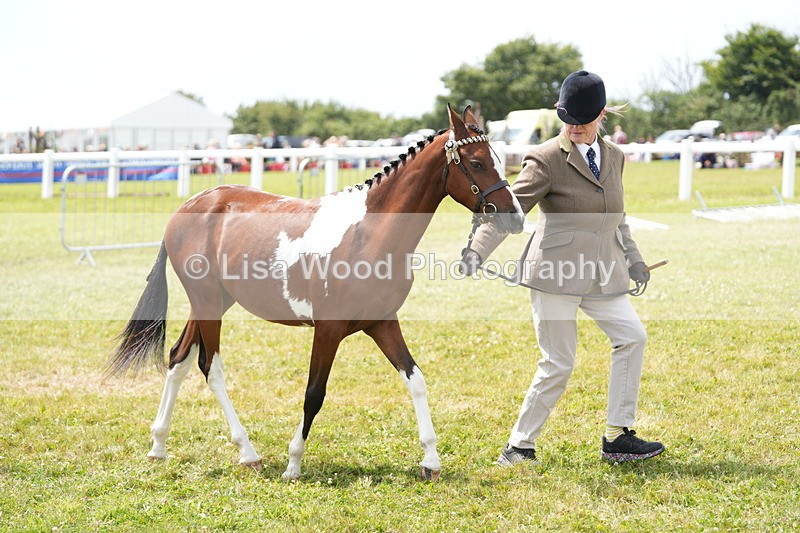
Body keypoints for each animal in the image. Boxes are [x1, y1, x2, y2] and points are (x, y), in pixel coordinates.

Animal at [106, 105, 525, 481]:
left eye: (498, 159)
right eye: (476, 162)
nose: (515, 216)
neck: (369, 234)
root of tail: (188, 207)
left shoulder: (382, 323)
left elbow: (415, 379)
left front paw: (431, 461)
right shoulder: (328, 328)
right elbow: (314, 393)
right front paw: (293, 465)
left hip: (210, 304)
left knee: (178, 358)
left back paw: (158, 446)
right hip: (208, 304)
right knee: (211, 368)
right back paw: (248, 453)